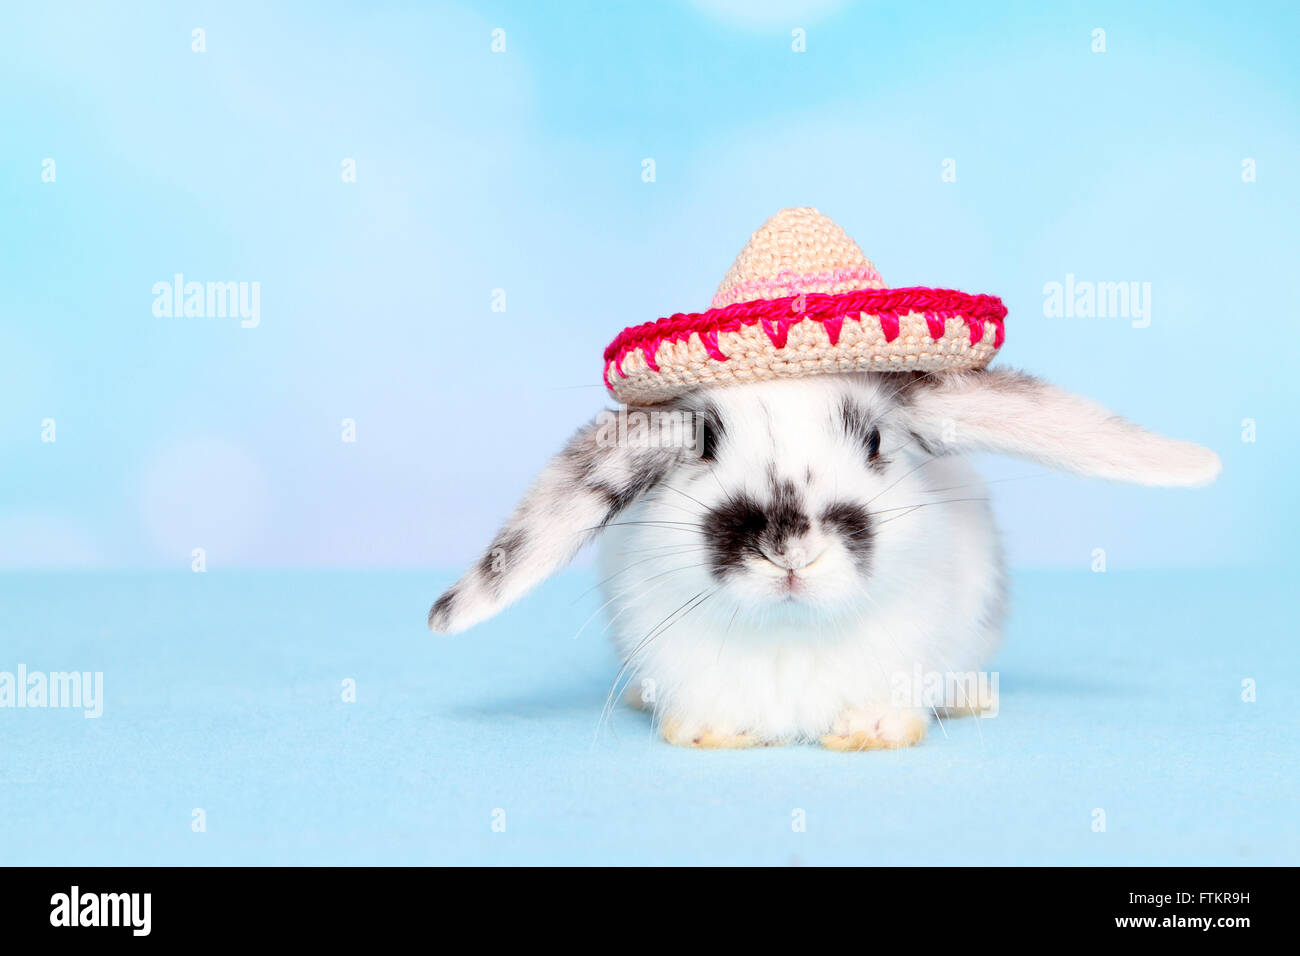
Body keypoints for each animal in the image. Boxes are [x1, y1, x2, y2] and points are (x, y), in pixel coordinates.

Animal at [428, 368, 1220, 750]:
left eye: (874, 441)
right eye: (703, 442)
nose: (790, 548)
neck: (792, 634)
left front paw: (871, 734)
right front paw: (713, 733)